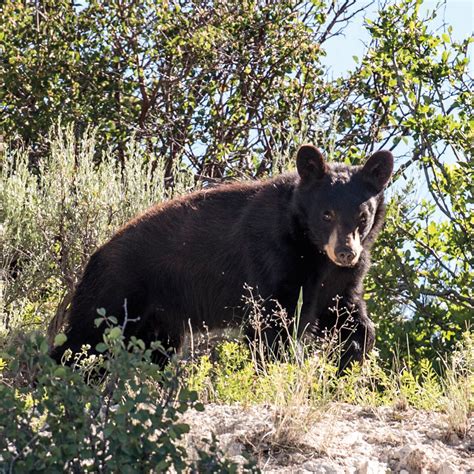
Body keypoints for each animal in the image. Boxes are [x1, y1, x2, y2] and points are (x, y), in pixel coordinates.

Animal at [50, 145, 394, 370]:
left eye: (362, 216)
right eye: (327, 214)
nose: (346, 252)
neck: (312, 249)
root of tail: (95, 255)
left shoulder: (340, 279)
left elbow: (346, 315)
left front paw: (350, 363)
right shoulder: (274, 257)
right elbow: (272, 324)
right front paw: (277, 372)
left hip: (158, 320)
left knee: (152, 350)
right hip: (116, 291)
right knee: (83, 339)